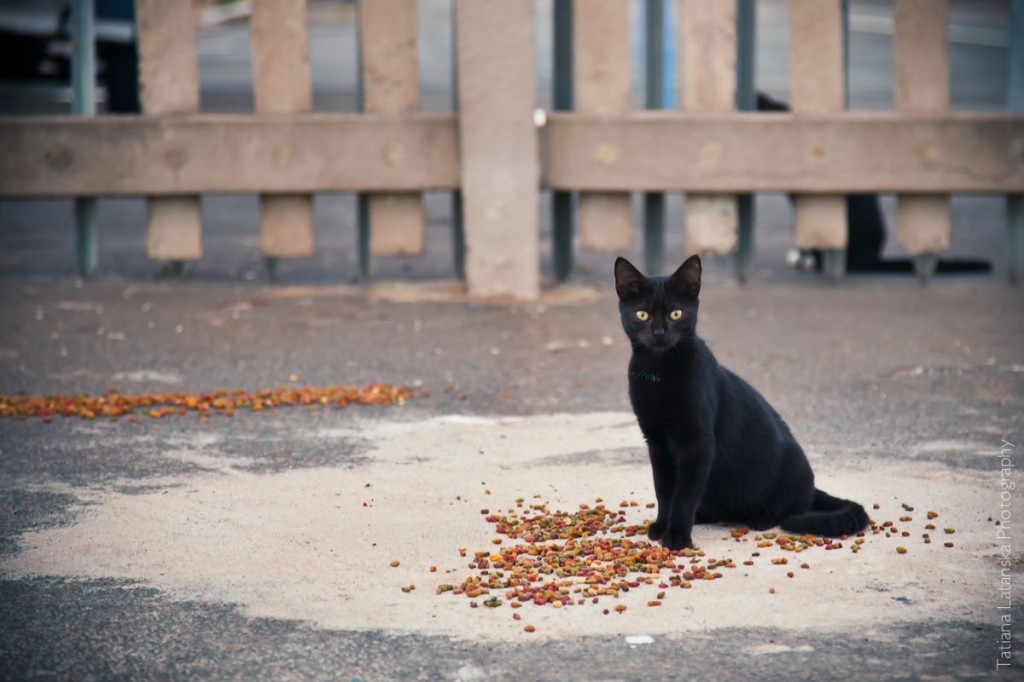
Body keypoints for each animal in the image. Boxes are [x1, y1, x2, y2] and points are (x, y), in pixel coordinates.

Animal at [610, 251, 868, 548]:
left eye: (676, 314)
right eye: (642, 314)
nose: (660, 333)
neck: (658, 373)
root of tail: (812, 488)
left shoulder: (698, 444)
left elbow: (684, 494)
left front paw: (676, 535)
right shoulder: (656, 442)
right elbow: (663, 490)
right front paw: (662, 526)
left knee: (791, 508)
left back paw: (759, 518)